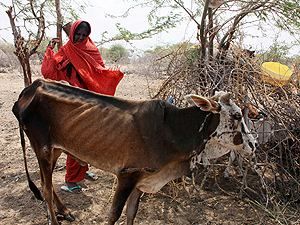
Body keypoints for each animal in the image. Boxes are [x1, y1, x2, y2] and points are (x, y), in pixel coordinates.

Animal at [11, 78, 255, 225]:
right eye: (236, 116)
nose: (253, 144)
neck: (173, 129)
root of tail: (32, 87)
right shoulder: (127, 175)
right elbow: (114, 215)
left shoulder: (142, 180)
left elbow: (131, 213)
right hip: (42, 147)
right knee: (44, 186)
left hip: (56, 149)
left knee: (48, 183)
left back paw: (66, 211)